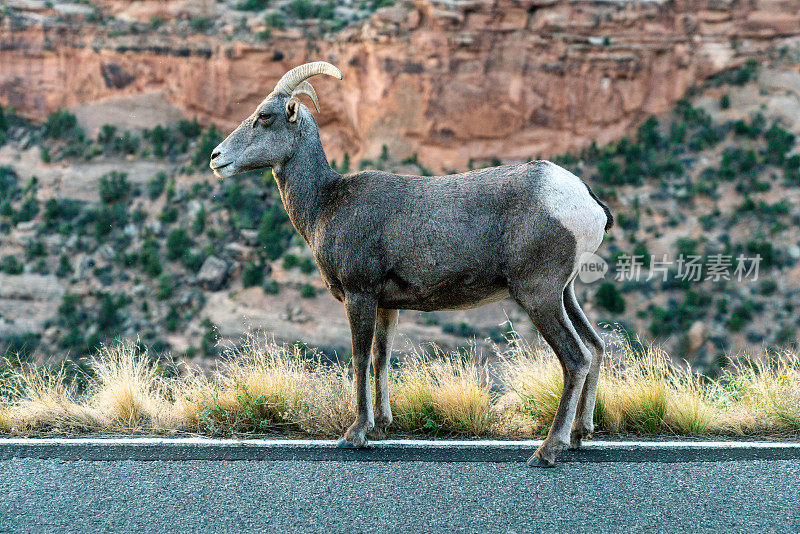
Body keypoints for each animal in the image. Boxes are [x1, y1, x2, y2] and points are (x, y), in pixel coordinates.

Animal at [211, 60, 612, 466]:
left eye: (265, 115)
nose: (216, 157)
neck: (324, 204)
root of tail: (585, 199)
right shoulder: (387, 304)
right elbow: (381, 357)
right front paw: (380, 427)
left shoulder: (360, 295)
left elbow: (359, 358)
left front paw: (355, 434)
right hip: (564, 293)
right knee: (596, 348)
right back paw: (579, 435)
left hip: (537, 295)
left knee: (576, 358)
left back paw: (547, 450)